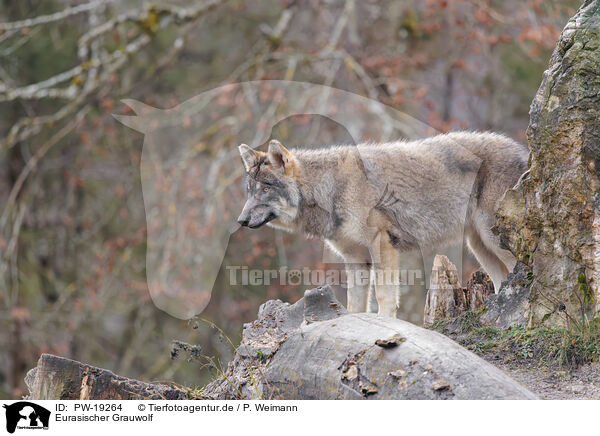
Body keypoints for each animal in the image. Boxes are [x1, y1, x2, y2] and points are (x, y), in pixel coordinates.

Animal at [237, 131, 528, 318]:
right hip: (479, 246)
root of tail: (525, 152)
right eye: (249, 191)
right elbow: (354, 305)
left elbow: (383, 297)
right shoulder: (356, 258)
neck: (331, 190)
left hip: (493, 240)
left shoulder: (382, 243)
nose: (240, 220)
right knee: (503, 280)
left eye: (265, 188)